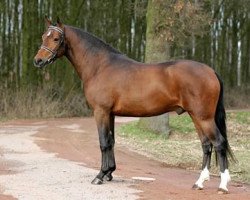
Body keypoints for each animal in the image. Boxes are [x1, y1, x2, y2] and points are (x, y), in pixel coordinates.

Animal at [33, 17, 234, 194]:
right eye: (43, 36)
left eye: (56, 38)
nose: (38, 61)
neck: (100, 66)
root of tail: (210, 71)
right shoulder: (110, 114)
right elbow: (111, 141)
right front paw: (109, 173)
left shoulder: (101, 112)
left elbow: (103, 142)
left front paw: (99, 176)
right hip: (196, 116)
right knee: (206, 145)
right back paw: (199, 182)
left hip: (203, 117)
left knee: (219, 143)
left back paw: (222, 186)